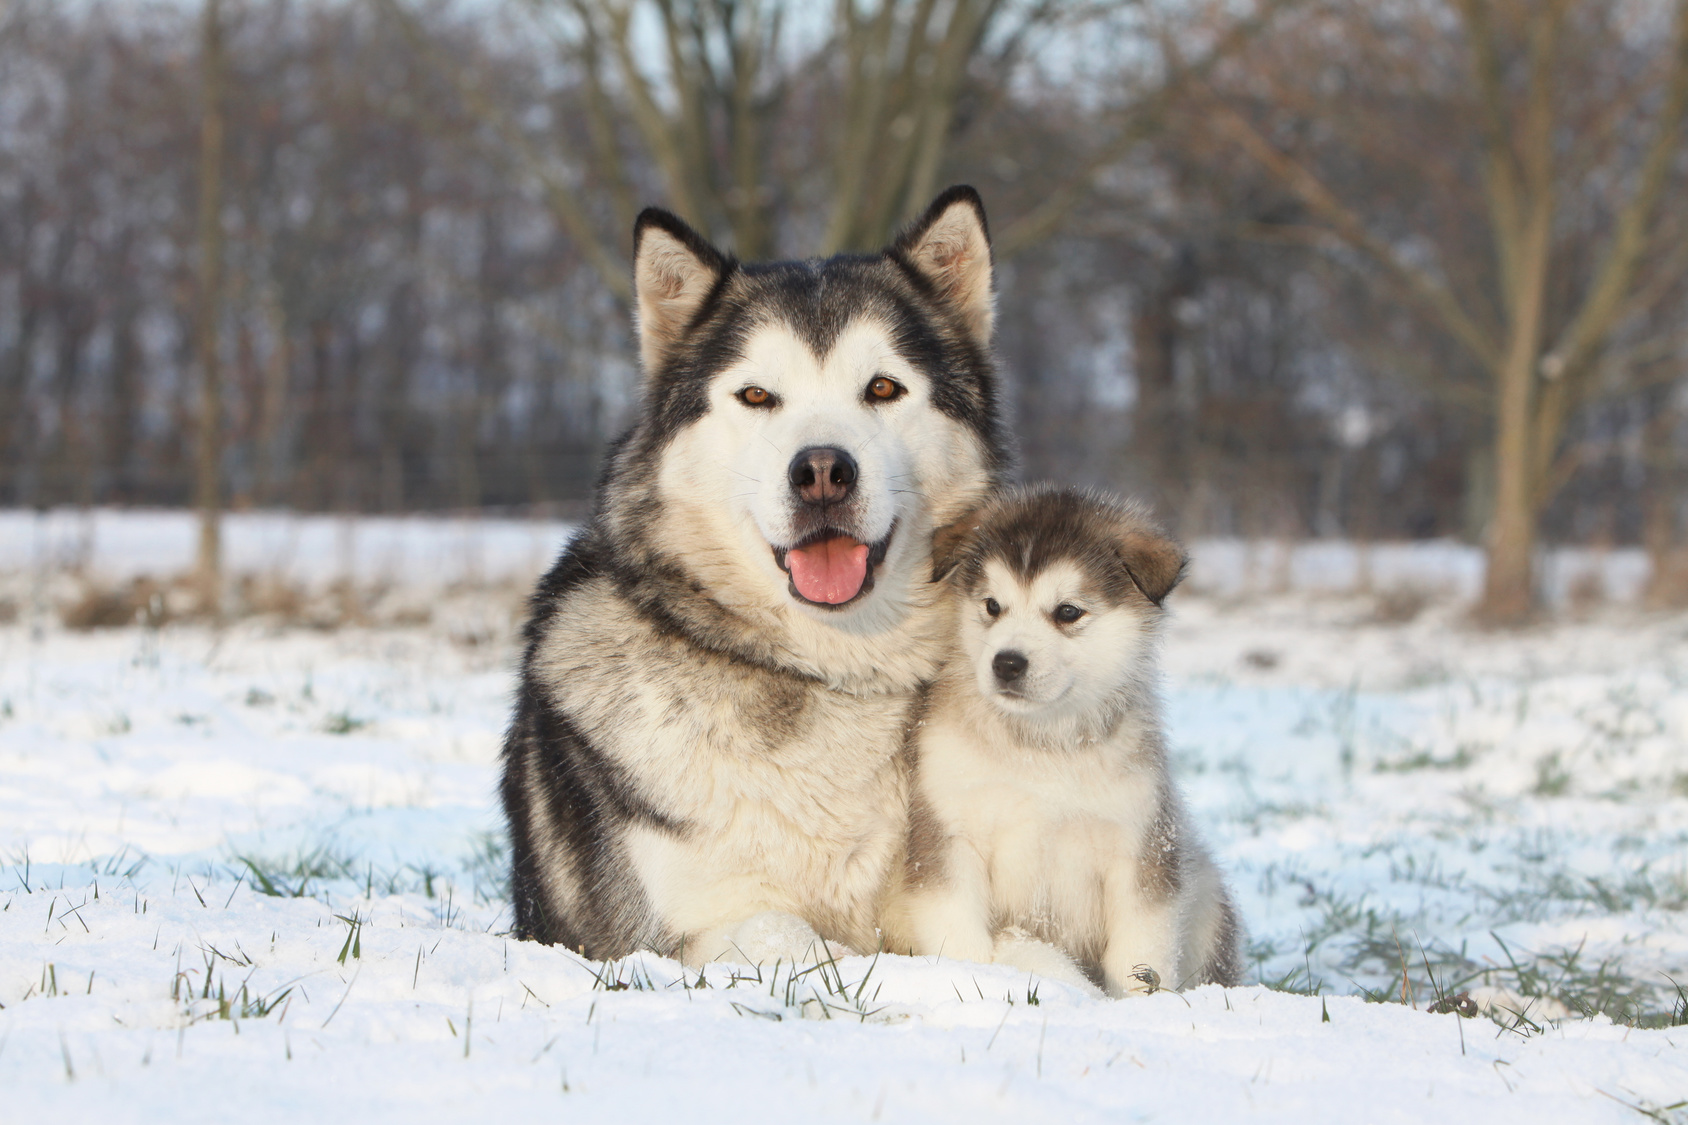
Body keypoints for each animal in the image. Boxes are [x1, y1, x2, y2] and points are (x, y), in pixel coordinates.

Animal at [499, 188, 999, 959]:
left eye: (883, 388)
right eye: (758, 396)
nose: (821, 472)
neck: (830, 670)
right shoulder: (685, 931)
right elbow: (800, 939)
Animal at [891, 486, 1249, 993]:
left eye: (1067, 612)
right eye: (992, 606)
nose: (1007, 663)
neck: (1042, 750)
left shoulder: (1140, 848)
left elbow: (1140, 953)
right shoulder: (947, 835)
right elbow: (961, 935)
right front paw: (976, 977)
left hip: (1207, 897)